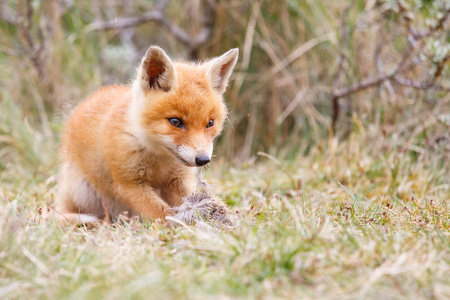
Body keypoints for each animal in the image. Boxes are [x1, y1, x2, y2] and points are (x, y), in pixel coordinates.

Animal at [54, 45, 239, 224]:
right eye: (175, 122)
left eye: (210, 123)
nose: (203, 160)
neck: (159, 159)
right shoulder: (130, 184)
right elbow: (162, 212)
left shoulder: (178, 180)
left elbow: (187, 201)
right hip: (83, 193)